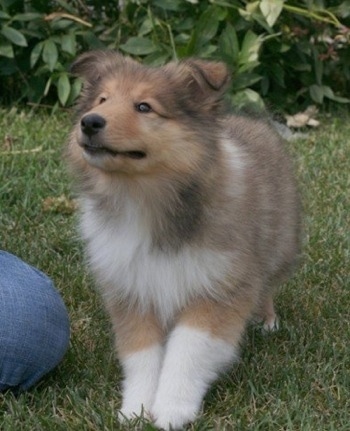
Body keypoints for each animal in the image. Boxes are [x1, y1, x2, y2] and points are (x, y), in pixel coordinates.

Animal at [66, 49, 300, 428]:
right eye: (102, 100)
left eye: (144, 107)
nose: (89, 122)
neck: (143, 199)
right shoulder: (133, 292)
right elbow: (141, 355)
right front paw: (136, 409)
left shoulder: (218, 289)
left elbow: (187, 352)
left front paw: (173, 410)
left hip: (278, 245)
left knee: (266, 285)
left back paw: (267, 321)